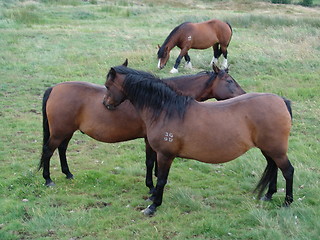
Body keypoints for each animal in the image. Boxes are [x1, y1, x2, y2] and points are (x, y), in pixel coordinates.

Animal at [104, 64, 294, 217]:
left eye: (107, 85)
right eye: (229, 81)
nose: (106, 103)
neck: (166, 110)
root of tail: (281, 101)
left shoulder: (165, 155)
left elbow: (162, 179)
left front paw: (153, 206)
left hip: (276, 150)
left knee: (288, 171)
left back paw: (287, 202)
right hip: (268, 149)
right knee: (273, 166)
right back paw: (268, 195)